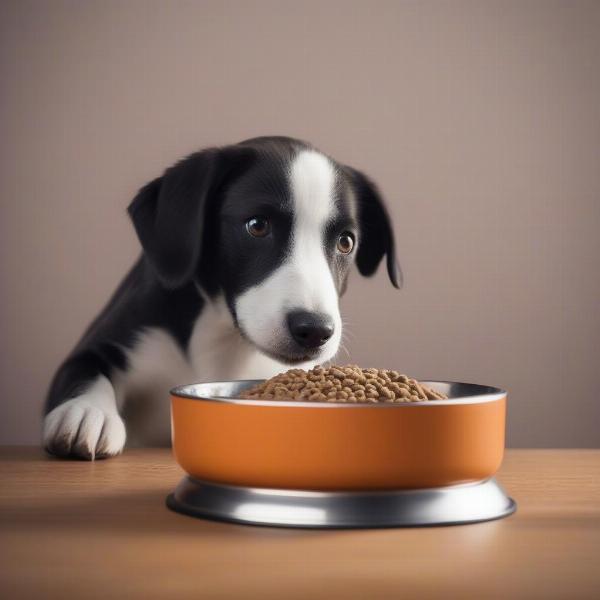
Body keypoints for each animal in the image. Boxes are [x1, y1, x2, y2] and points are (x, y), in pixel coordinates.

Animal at [42, 137, 400, 460]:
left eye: (346, 242)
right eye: (257, 225)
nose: (314, 330)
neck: (221, 337)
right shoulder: (109, 342)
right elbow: (86, 371)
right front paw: (87, 410)